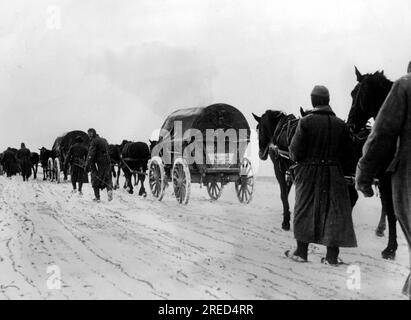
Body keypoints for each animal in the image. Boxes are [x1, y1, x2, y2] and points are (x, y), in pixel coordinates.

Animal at [348, 66, 400, 258]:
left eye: (358, 93)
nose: (351, 125)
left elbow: (392, 212)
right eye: (351, 93)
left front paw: (390, 249)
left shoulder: (387, 180)